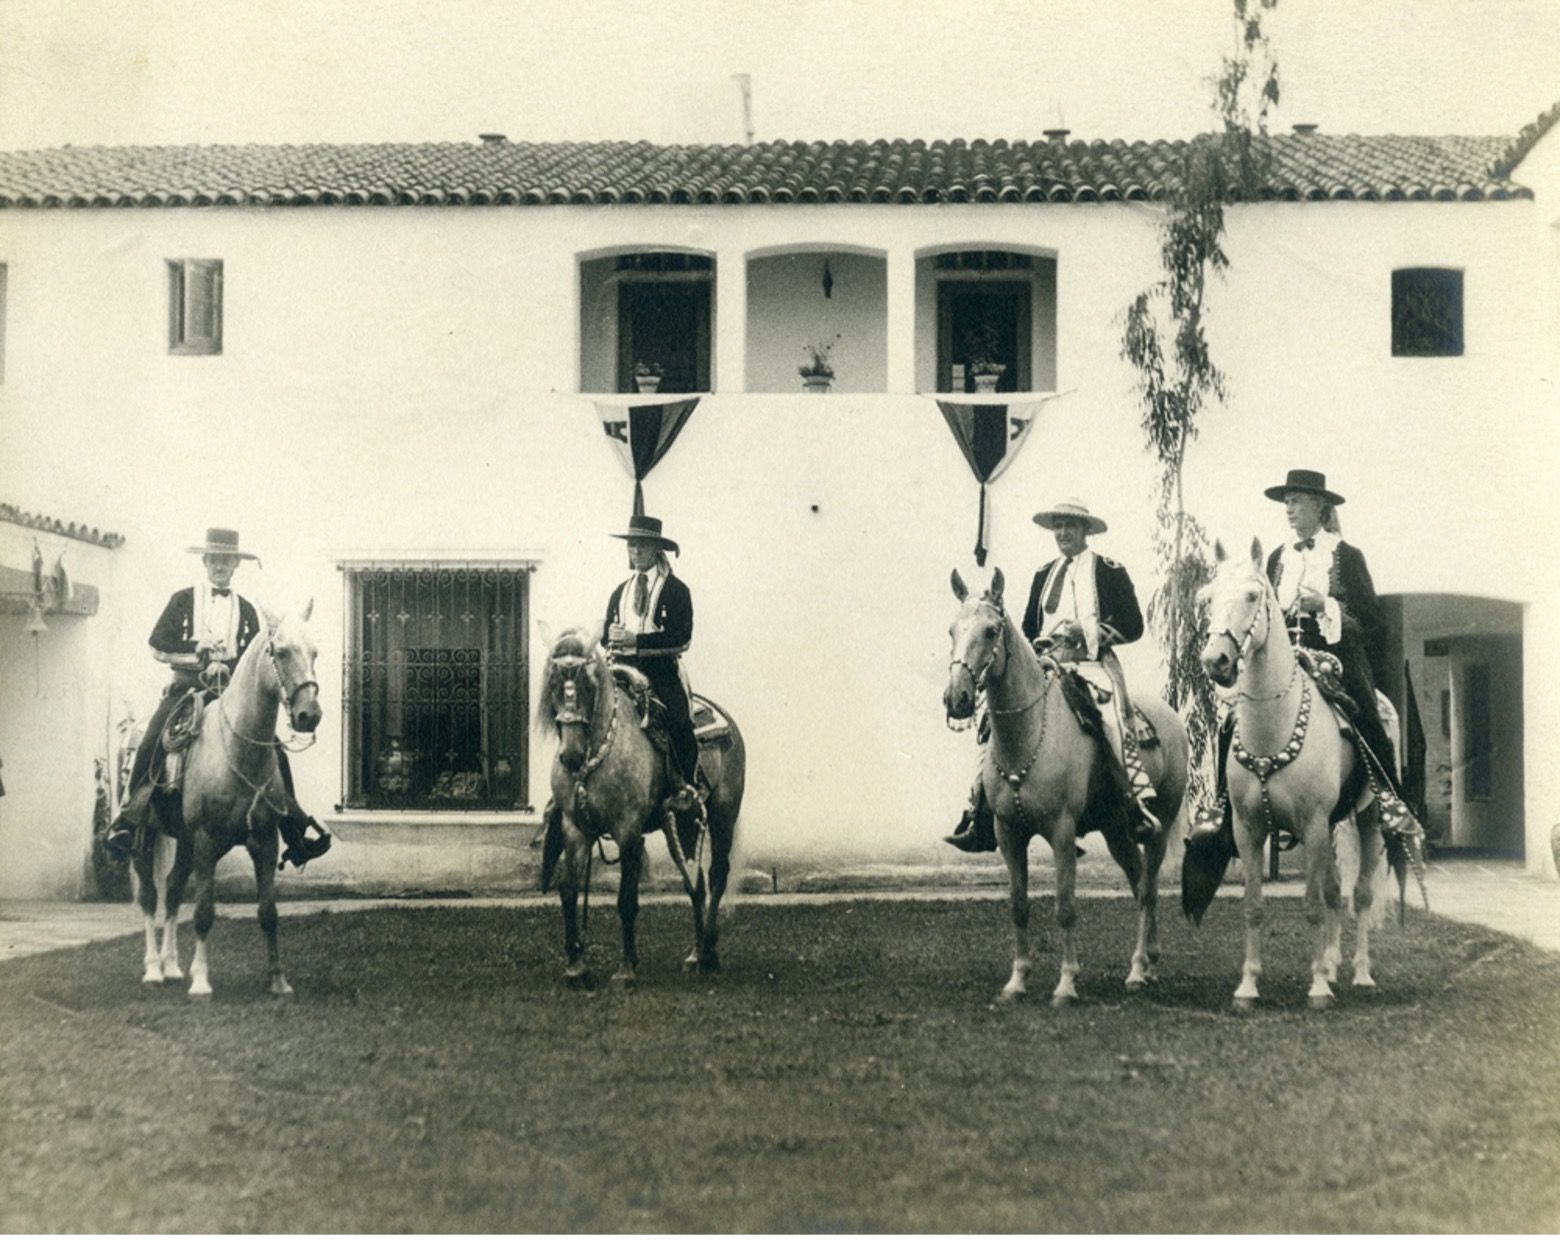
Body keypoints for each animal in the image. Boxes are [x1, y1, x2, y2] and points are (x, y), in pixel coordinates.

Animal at [134, 602, 326, 998]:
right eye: (281, 652)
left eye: (314, 652)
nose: (309, 715)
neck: (237, 752)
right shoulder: (206, 838)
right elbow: (204, 911)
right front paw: (202, 981)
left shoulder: (265, 840)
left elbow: (268, 912)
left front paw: (278, 980)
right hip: (146, 836)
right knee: (149, 896)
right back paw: (153, 969)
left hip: (185, 842)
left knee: (173, 888)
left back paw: (171, 965)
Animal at [533, 630, 745, 992]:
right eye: (554, 684)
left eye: (588, 686)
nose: (571, 756)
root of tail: (724, 717)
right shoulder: (576, 829)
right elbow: (569, 891)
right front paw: (576, 968)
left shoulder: (628, 831)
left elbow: (626, 900)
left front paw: (626, 970)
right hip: (682, 824)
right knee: (696, 881)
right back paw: (696, 953)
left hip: (722, 817)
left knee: (717, 875)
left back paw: (707, 953)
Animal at [942, 570, 1185, 1010]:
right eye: (952, 630)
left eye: (990, 631)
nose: (957, 698)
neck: (1027, 736)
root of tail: (1171, 718)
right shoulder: (1008, 833)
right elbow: (1018, 905)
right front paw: (1017, 982)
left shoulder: (1061, 831)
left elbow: (1065, 906)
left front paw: (1067, 984)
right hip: (1115, 830)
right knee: (1138, 880)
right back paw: (1148, 963)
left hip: (1159, 825)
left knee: (1148, 890)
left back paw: (1137, 970)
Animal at [1191, 539, 1391, 1010]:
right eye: (1208, 598)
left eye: (1251, 595)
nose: (1216, 661)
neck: (1273, 726)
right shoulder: (1249, 830)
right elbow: (1253, 906)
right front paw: (1248, 987)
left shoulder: (1314, 825)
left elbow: (1314, 904)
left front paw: (1317, 988)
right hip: (1335, 826)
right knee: (1337, 891)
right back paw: (1333, 964)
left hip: (1368, 820)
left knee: (1359, 894)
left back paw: (1360, 974)